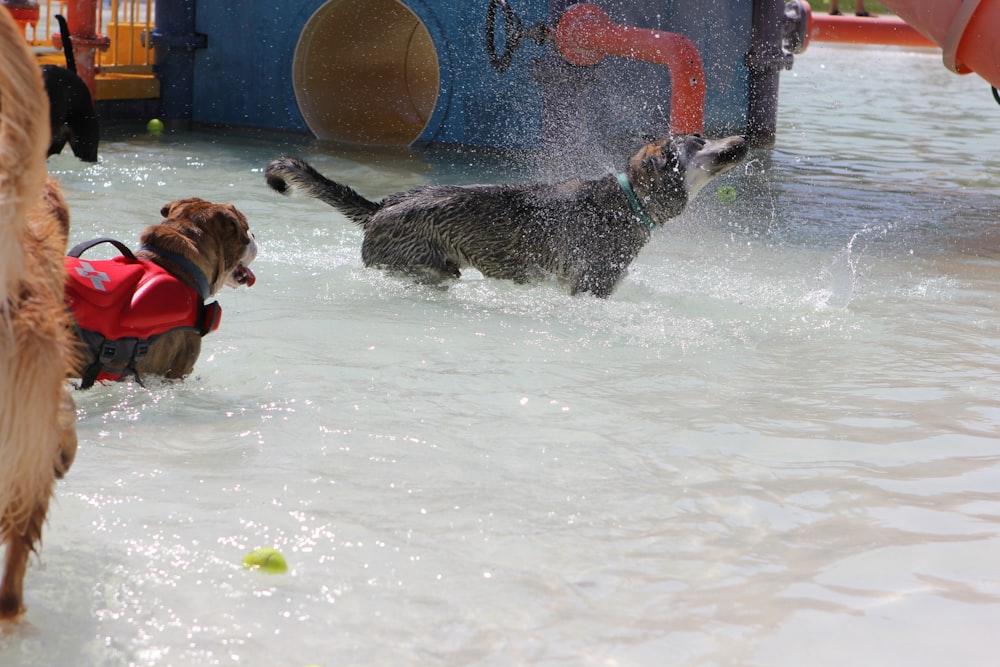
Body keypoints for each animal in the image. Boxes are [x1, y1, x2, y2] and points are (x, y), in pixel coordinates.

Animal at [262, 133, 748, 298]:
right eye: (698, 144)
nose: (742, 141)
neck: (627, 203)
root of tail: (382, 206)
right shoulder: (588, 288)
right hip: (430, 271)